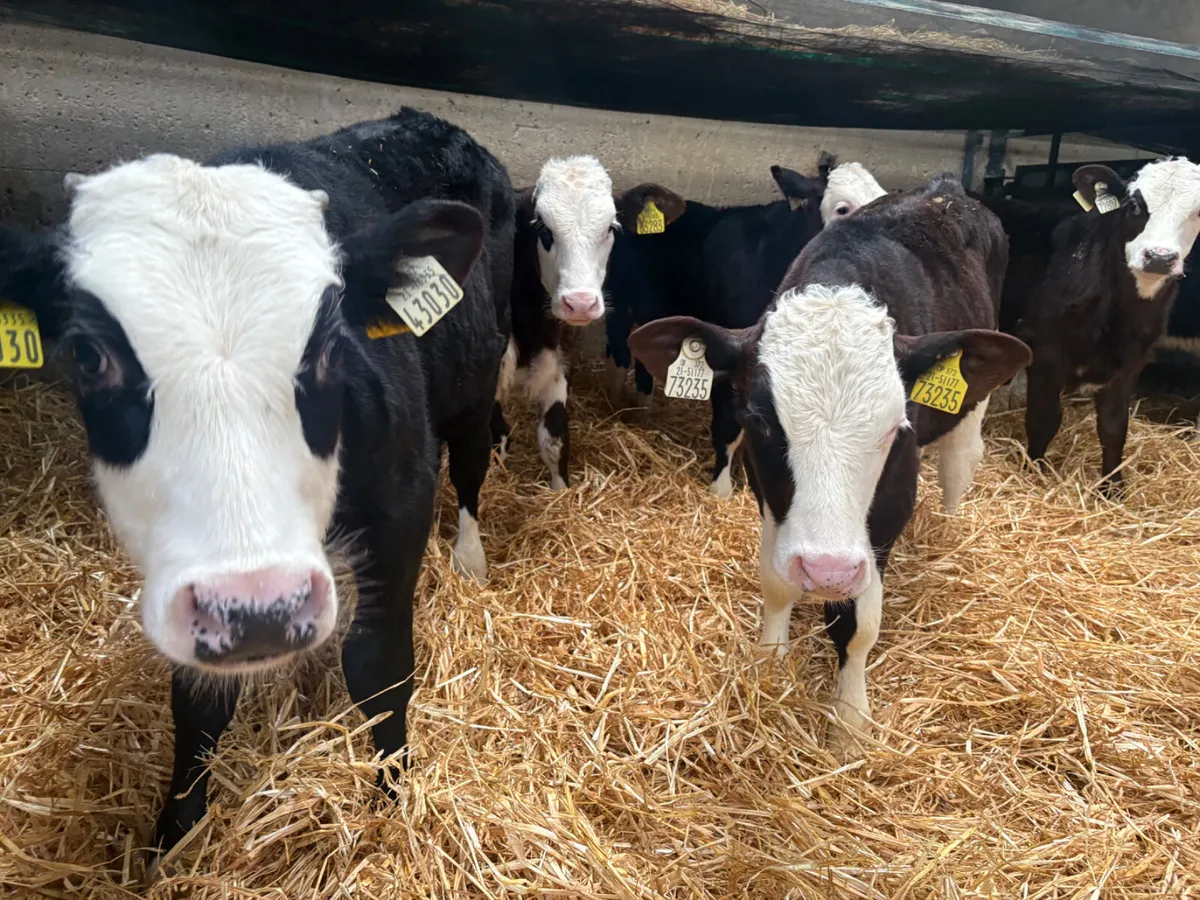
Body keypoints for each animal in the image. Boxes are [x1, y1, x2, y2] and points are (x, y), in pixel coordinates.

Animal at [0, 107, 513, 868]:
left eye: (329, 346)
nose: (263, 608)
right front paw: (174, 837)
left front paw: (390, 798)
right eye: (89, 356)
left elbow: (379, 664)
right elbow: (198, 699)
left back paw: (470, 558)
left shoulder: (403, 498)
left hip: (476, 380)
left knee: (474, 461)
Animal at [495, 155, 684, 489]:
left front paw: (559, 493)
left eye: (610, 229)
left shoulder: (561, 363)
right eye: (543, 230)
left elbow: (555, 442)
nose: (580, 302)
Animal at [628, 176, 1030, 754]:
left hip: (972, 404)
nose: (827, 571)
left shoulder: (886, 513)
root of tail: (945, 189)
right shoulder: (771, 500)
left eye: (894, 428)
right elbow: (776, 584)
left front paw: (850, 719)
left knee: (959, 462)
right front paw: (768, 668)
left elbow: (858, 624)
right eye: (760, 421)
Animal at [1003, 159, 1200, 489]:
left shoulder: (1129, 363)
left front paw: (1113, 486)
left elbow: (1114, 426)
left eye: (1198, 212)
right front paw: (1035, 472)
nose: (1159, 257)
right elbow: (1044, 418)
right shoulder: (1045, 351)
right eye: (1134, 205)